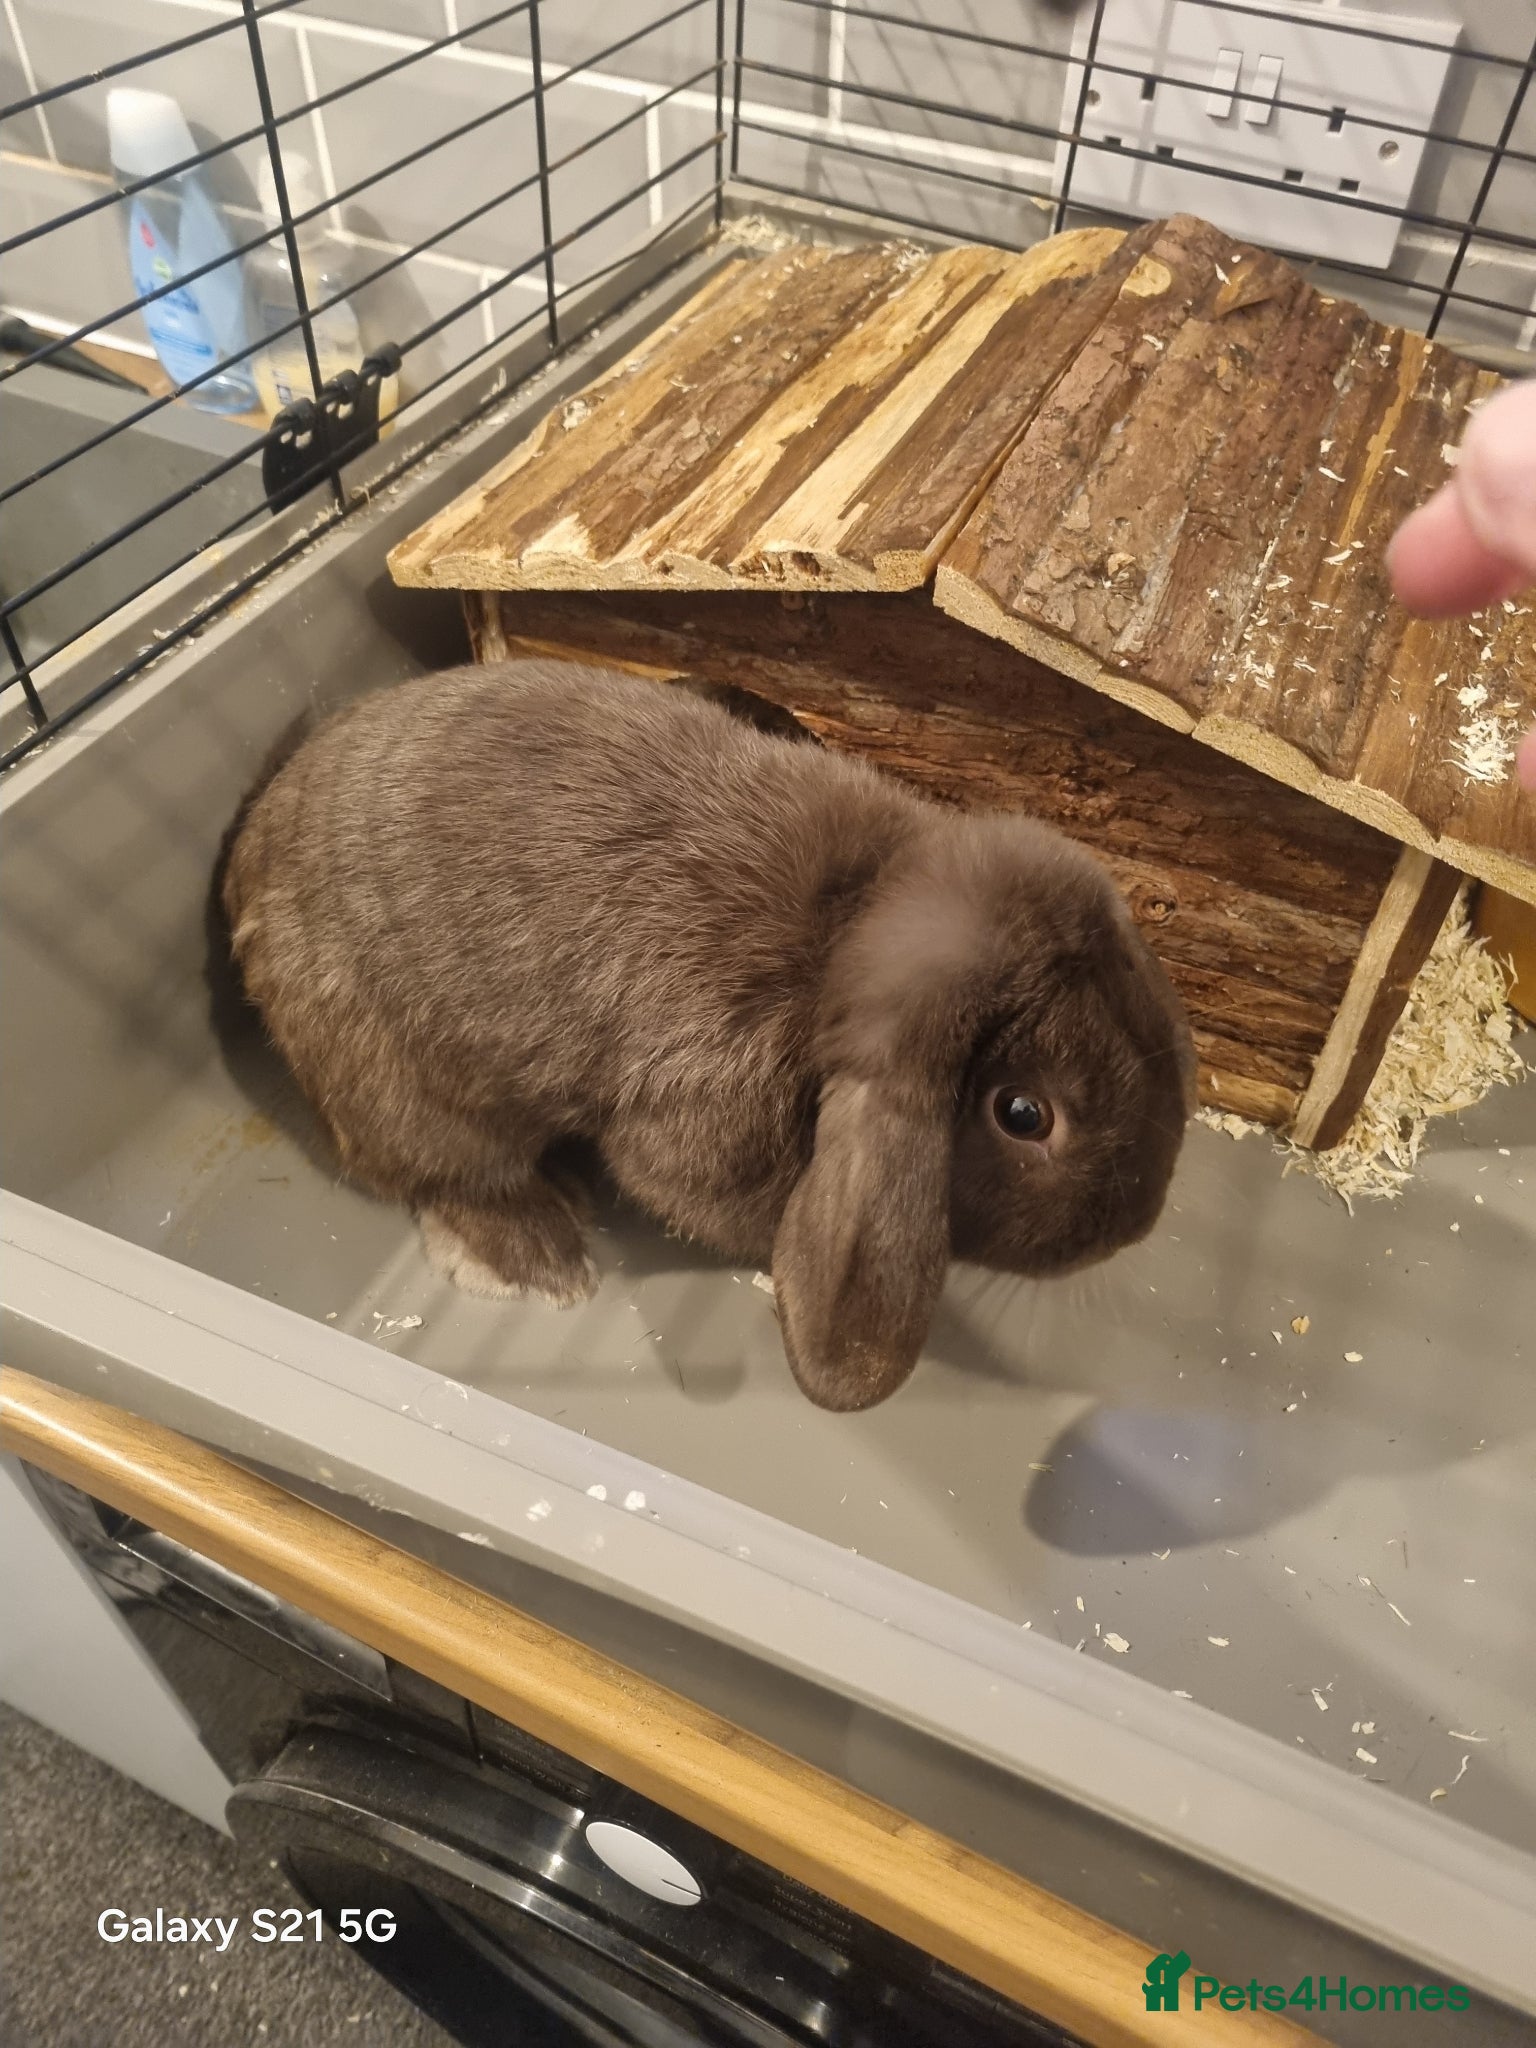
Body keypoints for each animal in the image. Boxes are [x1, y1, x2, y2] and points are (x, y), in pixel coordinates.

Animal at [222, 659, 1195, 1411]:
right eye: (1024, 1114)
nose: (1133, 1228)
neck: (843, 933)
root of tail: (245, 869)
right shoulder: (703, 1115)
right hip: (415, 1094)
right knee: (450, 1177)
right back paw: (544, 1255)